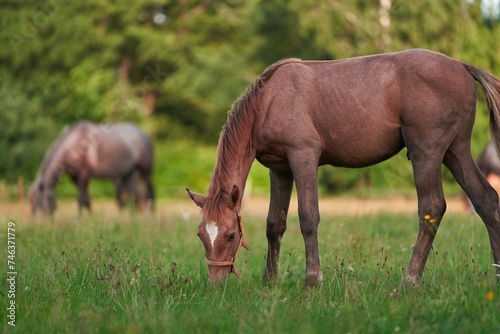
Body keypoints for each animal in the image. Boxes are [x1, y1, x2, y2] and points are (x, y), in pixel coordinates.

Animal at [185, 49, 500, 290]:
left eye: (230, 235)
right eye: (200, 234)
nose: (215, 283)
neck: (269, 101)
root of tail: (462, 66)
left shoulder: (303, 157)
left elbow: (308, 217)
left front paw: (312, 280)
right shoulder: (280, 170)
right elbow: (275, 223)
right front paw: (270, 281)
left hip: (428, 154)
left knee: (432, 208)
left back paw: (408, 282)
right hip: (456, 152)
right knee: (486, 200)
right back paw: (496, 275)